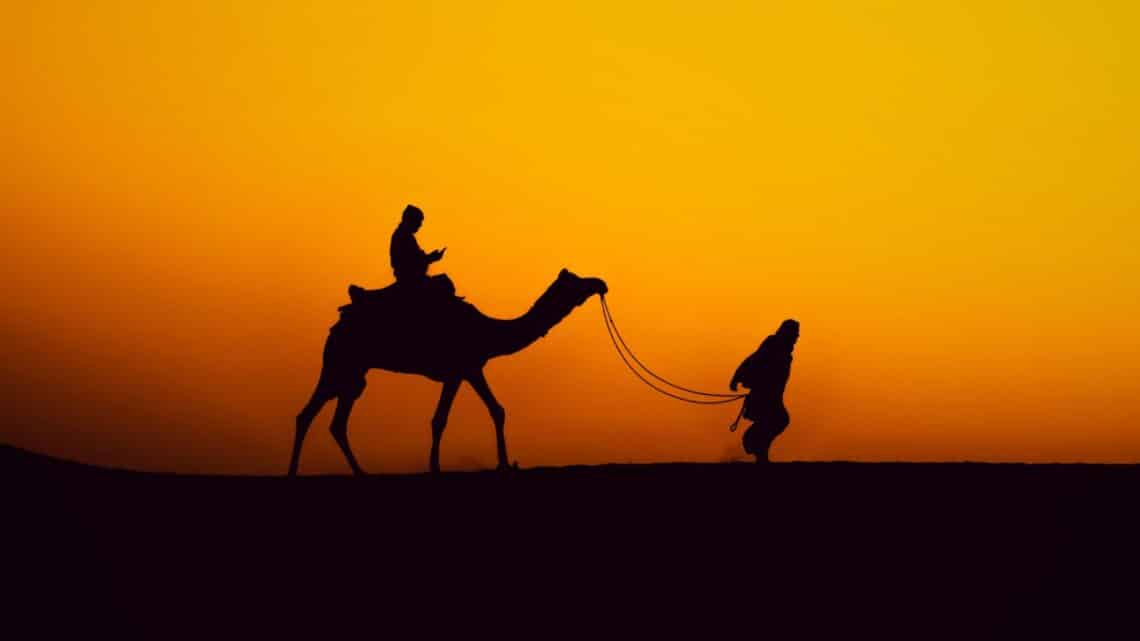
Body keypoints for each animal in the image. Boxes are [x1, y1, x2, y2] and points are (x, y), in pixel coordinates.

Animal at [290, 268, 608, 475]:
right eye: (577, 282)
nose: (600, 283)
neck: (488, 330)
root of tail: (336, 326)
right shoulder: (459, 370)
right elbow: (440, 419)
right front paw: (434, 467)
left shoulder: (471, 368)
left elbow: (497, 409)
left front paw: (504, 463)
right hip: (341, 363)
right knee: (313, 415)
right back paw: (300, 471)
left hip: (352, 372)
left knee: (328, 419)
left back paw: (355, 472)